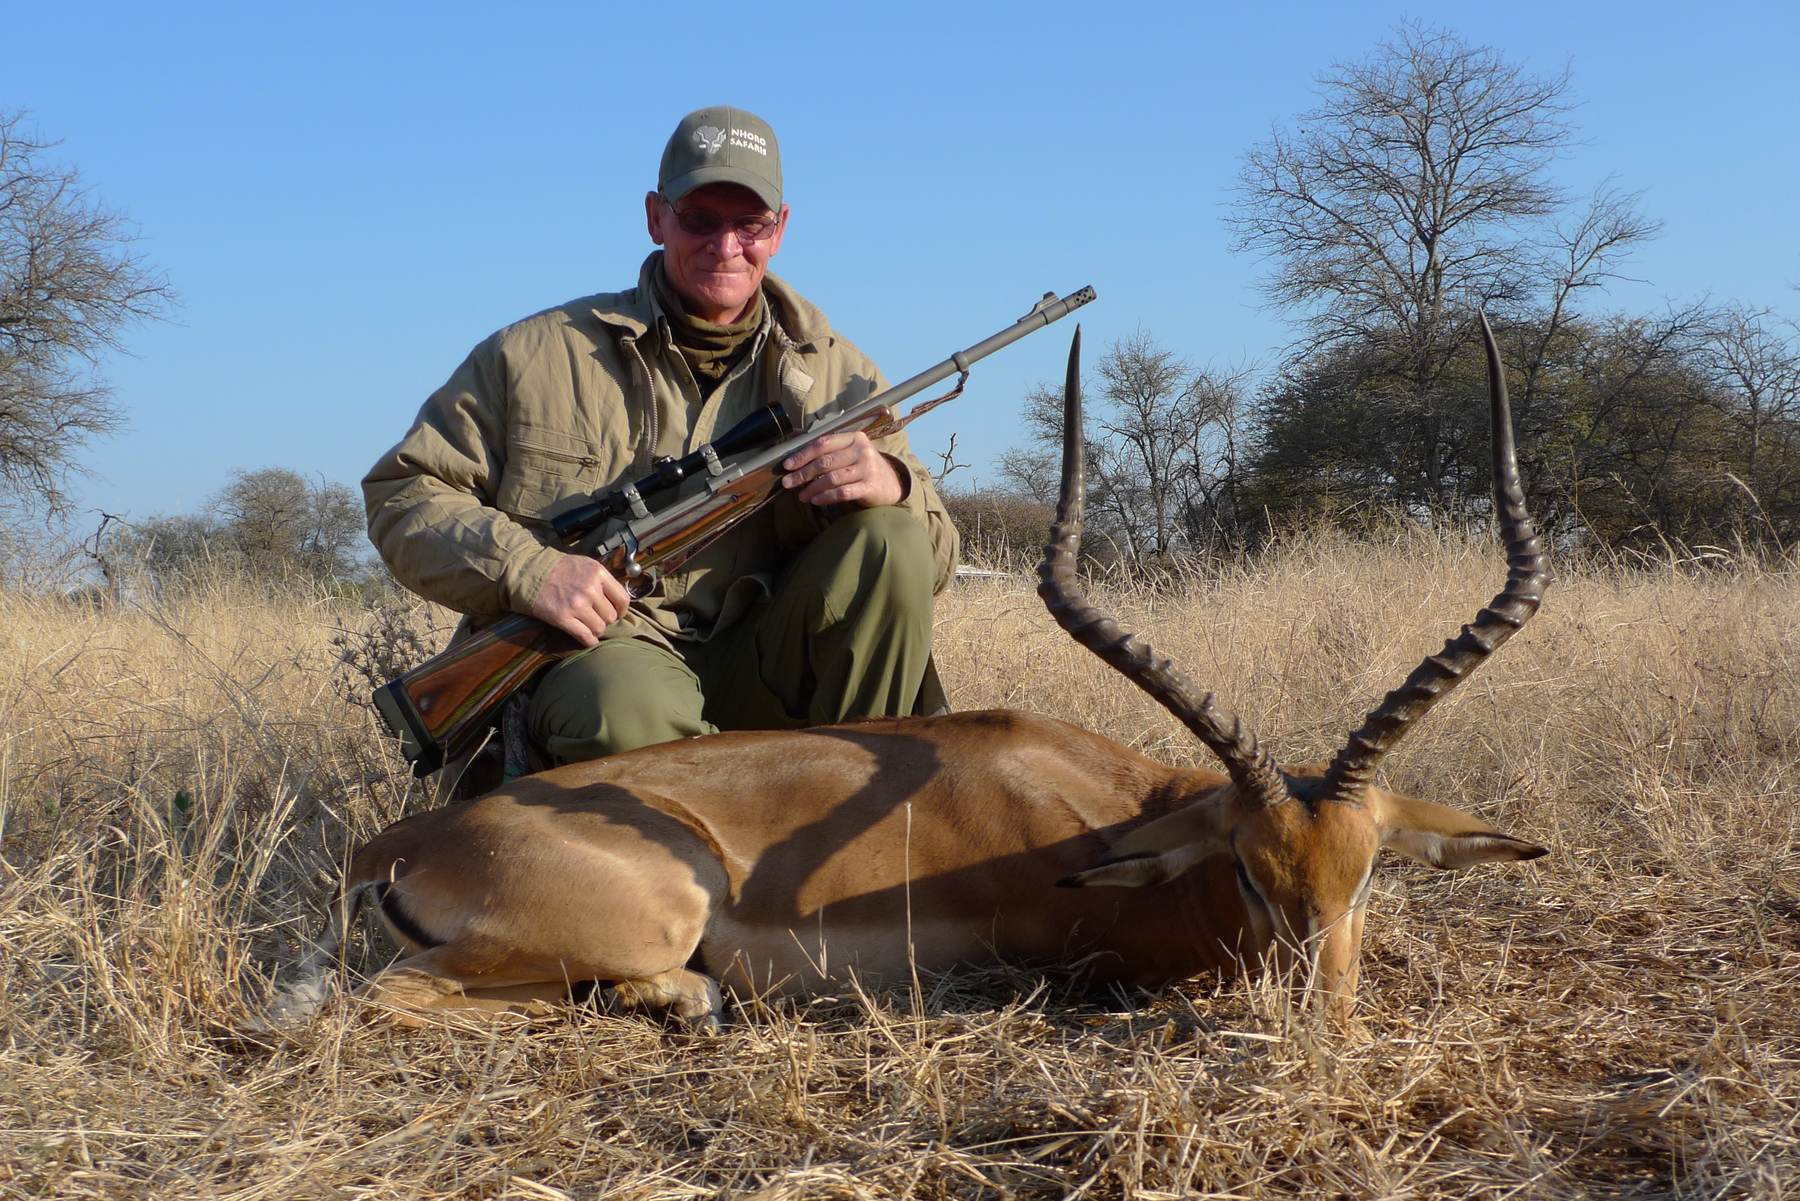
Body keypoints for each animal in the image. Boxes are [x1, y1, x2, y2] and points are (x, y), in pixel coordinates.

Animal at [268, 315, 1547, 1031]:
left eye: (1366, 873)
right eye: (1245, 868)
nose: (1322, 1020)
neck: (1106, 813)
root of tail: (402, 843)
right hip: (647, 907)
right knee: (372, 1007)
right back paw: (679, 1004)